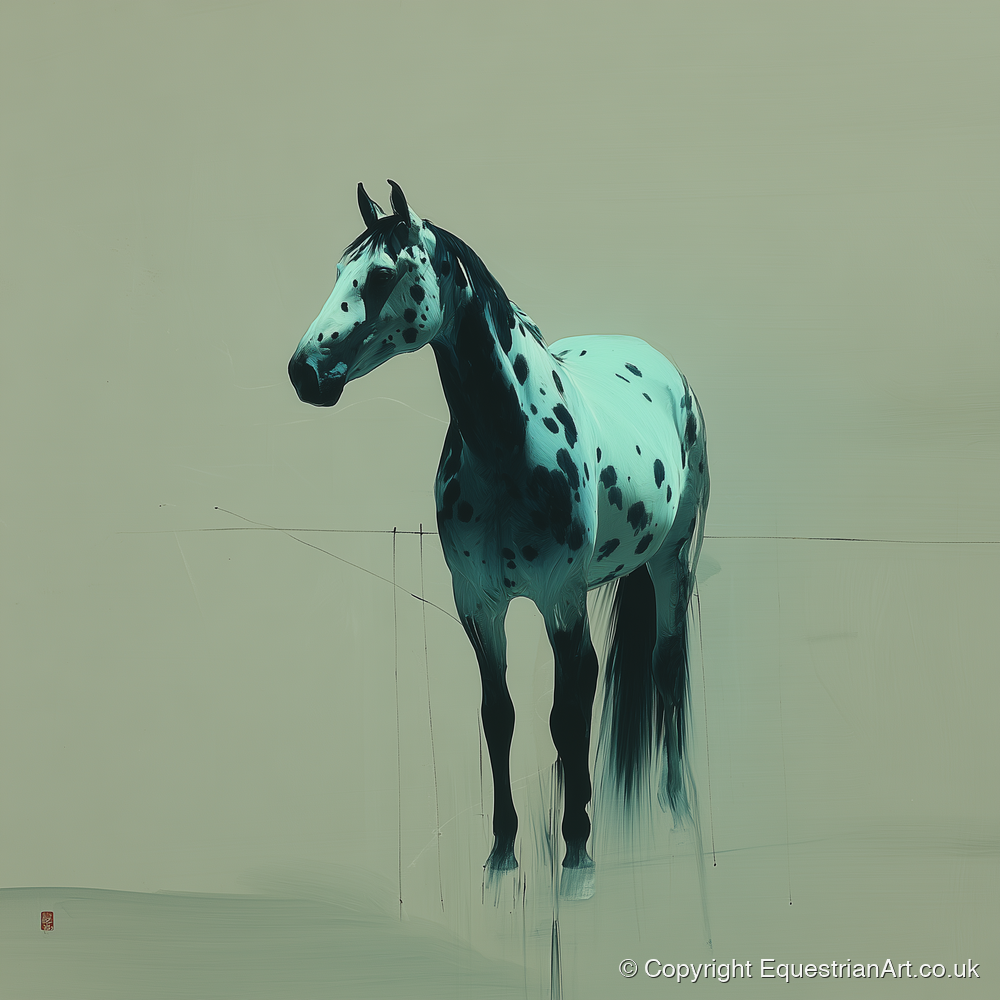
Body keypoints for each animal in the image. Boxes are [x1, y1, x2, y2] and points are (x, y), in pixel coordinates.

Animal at [287, 181, 710, 899]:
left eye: (381, 274)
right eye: (338, 271)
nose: (304, 371)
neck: (509, 448)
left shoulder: (561, 602)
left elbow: (566, 717)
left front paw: (577, 855)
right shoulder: (478, 605)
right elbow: (500, 717)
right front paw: (503, 855)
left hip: (673, 566)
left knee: (667, 674)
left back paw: (677, 812)